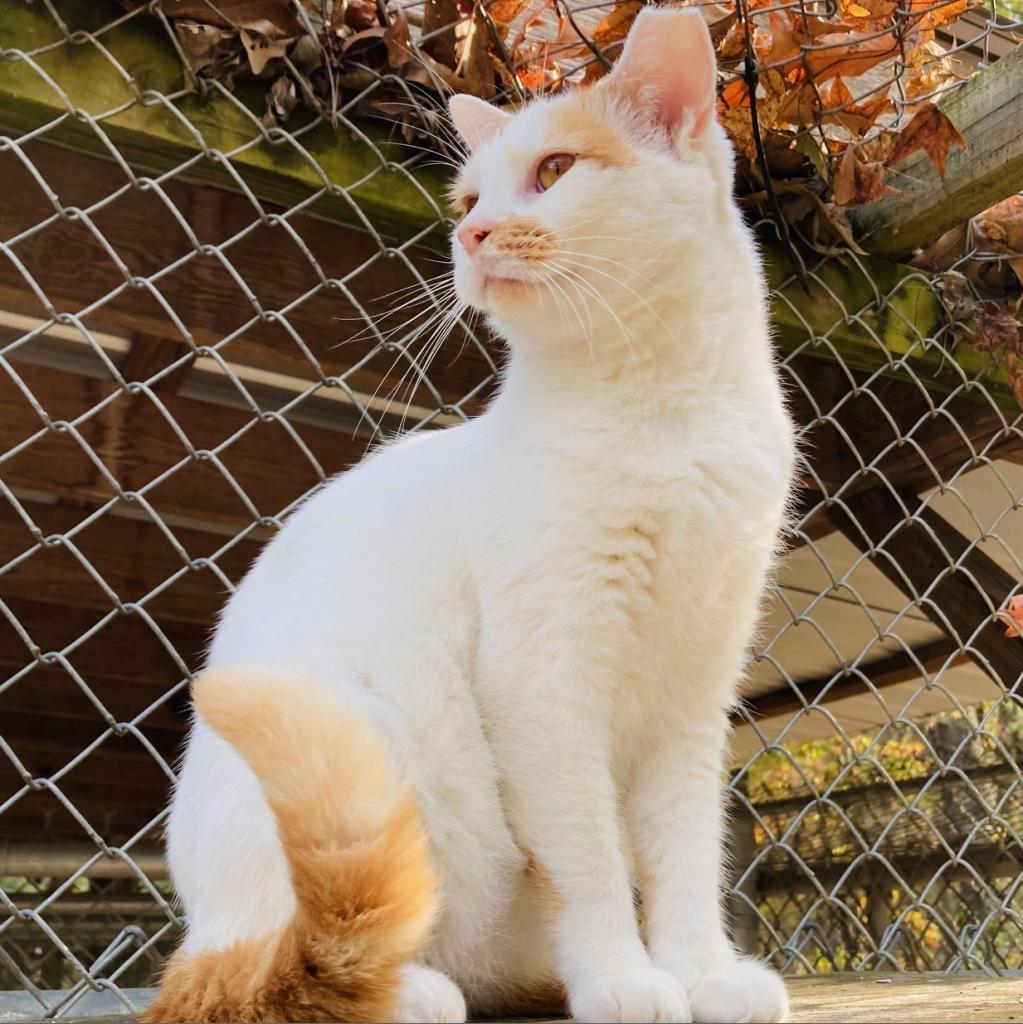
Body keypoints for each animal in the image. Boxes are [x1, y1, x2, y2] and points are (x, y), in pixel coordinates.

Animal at [144, 9, 798, 1024]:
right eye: (465, 200)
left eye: (556, 170)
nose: (475, 232)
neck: (665, 410)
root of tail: (196, 934)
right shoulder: (543, 685)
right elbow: (590, 860)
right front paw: (621, 977)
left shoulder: (693, 693)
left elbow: (685, 852)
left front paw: (700, 972)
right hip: (361, 734)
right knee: (283, 966)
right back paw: (411, 988)